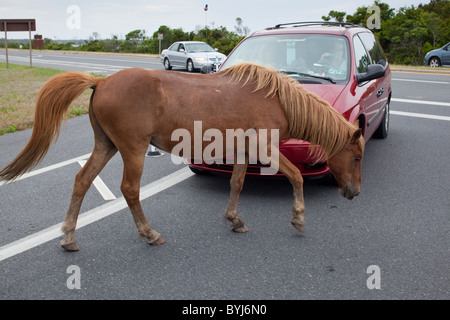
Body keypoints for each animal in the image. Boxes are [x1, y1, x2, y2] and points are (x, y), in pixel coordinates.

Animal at [0, 62, 364, 251]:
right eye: (358, 157)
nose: (354, 192)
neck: (276, 99)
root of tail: (101, 81)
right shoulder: (266, 149)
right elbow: (296, 176)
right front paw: (298, 218)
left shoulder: (245, 150)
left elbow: (236, 184)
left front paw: (234, 219)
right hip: (132, 150)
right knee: (130, 190)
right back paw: (149, 234)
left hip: (107, 146)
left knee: (82, 180)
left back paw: (69, 237)